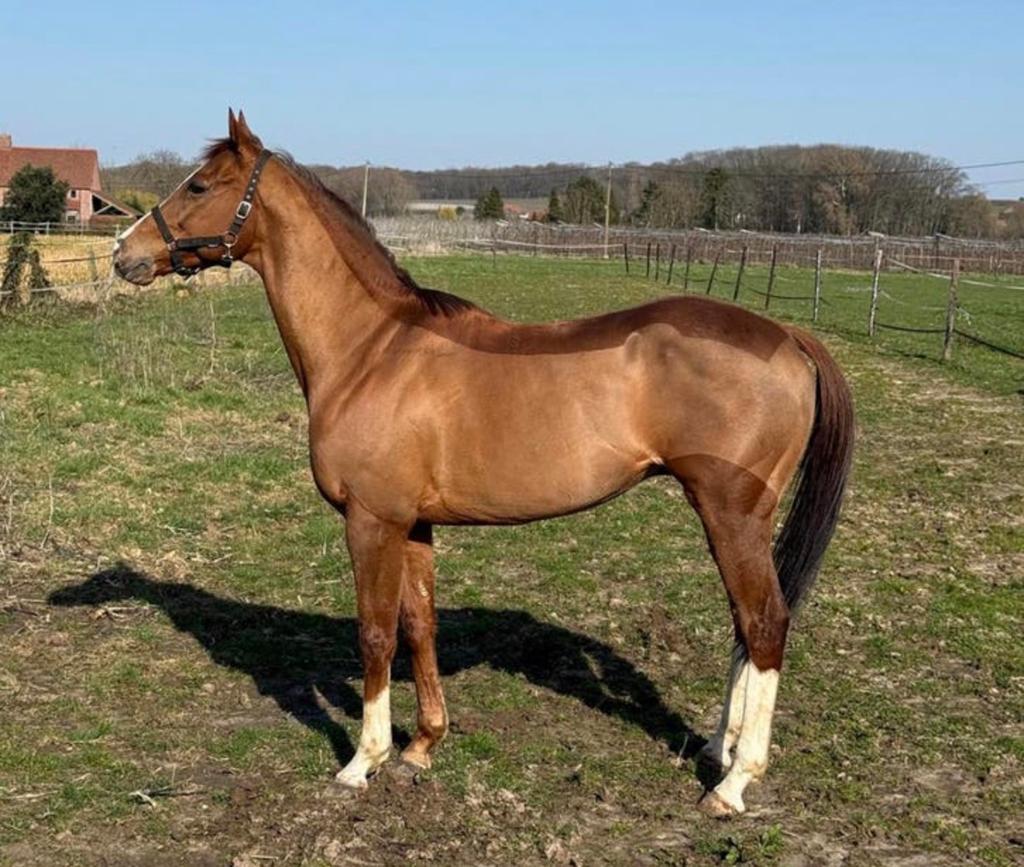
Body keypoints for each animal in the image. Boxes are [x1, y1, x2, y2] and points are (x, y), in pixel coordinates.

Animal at [113, 110, 854, 817]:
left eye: (199, 186)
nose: (124, 254)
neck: (371, 350)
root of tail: (787, 335)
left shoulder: (371, 522)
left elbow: (375, 634)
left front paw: (363, 760)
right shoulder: (413, 524)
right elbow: (419, 626)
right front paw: (421, 746)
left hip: (731, 511)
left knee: (764, 622)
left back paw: (733, 782)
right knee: (743, 624)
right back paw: (715, 746)